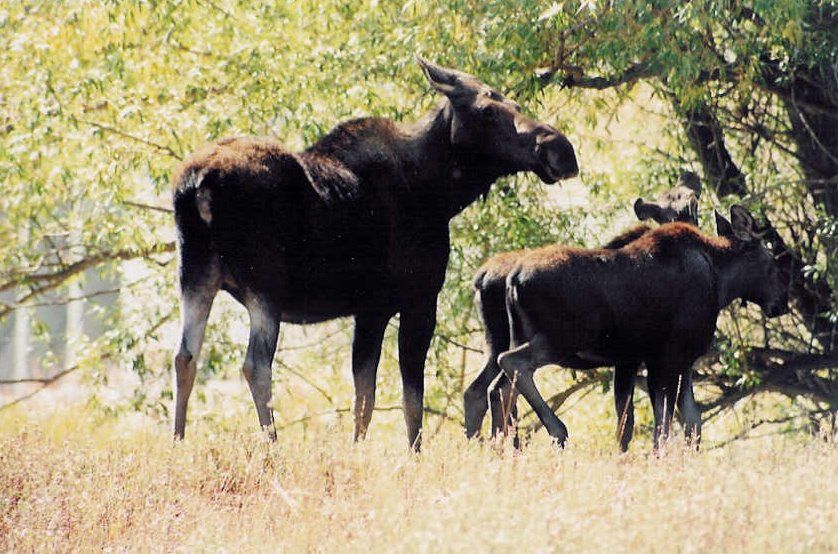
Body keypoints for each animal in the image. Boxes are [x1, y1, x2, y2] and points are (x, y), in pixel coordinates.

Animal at [169, 57, 576, 444]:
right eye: (487, 110)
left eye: (515, 103)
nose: (560, 149)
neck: (439, 192)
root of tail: (198, 184)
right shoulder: (417, 299)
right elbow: (411, 399)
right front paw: (413, 454)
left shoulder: (370, 309)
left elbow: (364, 398)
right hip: (265, 284)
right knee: (256, 365)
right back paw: (272, 448)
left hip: (196, 274)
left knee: (185, 356)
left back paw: (178, 441)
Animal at [462, 172, 704, 448]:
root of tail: (481, 279)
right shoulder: (635, 359)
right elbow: (632, 422)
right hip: (538, 342)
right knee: (501, 389)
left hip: (494, 345)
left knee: (478, 392)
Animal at [492, 207, 788, 448]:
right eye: (771, 260)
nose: (782, 302)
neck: (722, 280)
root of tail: (513, 279)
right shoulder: (669, 357)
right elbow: (665, 428)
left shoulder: (667, 360)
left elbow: (687, 422)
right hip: (560, 339)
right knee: (511, 363)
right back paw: (557, 431)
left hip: (525, 336)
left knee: (499, 388)